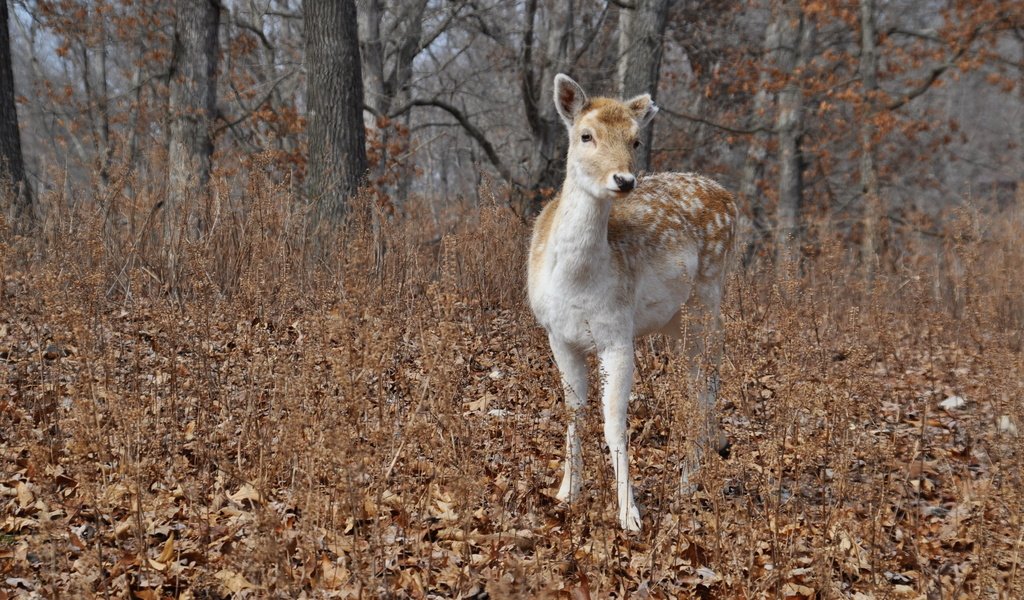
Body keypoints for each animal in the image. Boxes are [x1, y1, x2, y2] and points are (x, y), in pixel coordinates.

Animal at [528, 73, 737, 528]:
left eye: (636, 139)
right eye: (585, 135)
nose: (624, 180)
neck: (577, 283)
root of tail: (729, 197)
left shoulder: (617, 335)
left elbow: (613, 424)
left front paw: (629, 515)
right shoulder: (558, 336)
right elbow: (574, 412)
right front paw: (567, 492)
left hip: (708, 296)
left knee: (703, 381)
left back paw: (688, 483)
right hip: (674, 320)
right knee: (702, 380)